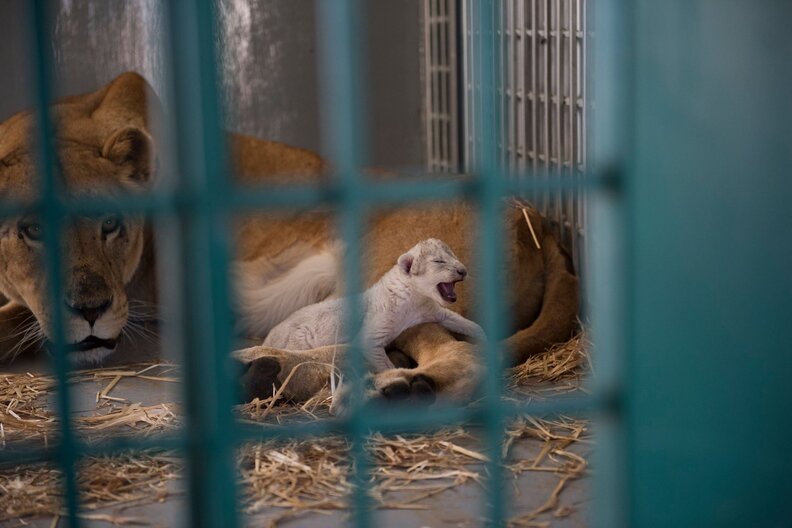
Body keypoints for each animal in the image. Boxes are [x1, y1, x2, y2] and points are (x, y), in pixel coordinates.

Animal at [0, 72, 579, 406]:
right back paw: (265, 373)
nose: (91, 310)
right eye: (31, 230)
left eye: (111, 224)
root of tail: (536, 217)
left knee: (454, 357)